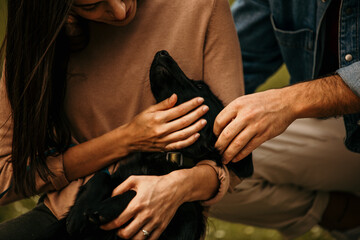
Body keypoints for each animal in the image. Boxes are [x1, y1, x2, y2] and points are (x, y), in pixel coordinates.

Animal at [65, 49, 253, 239]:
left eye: (200, 86)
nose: (162, 52)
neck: (166, 157)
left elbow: (138, 192)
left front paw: (103, 209)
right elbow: (101, 176)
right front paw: (78, 213)